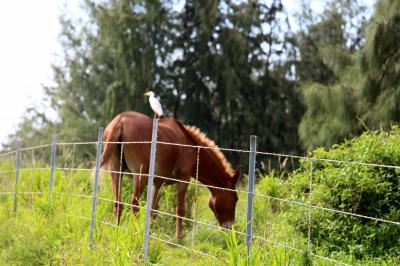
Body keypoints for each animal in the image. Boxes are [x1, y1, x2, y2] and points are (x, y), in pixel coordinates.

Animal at [100, 111, 241, 238]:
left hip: (116, 173)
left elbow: (153, 209)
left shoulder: (157, 183)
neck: (190, 145)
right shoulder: (184, 179)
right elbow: (180, 209)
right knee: (134, 204)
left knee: (118, 203)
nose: (230, 227)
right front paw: (178, 238)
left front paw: (150, 232)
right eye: (235, 199)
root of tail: (120, 120)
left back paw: (118, 231)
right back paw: (134, 233)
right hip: (140, 177)